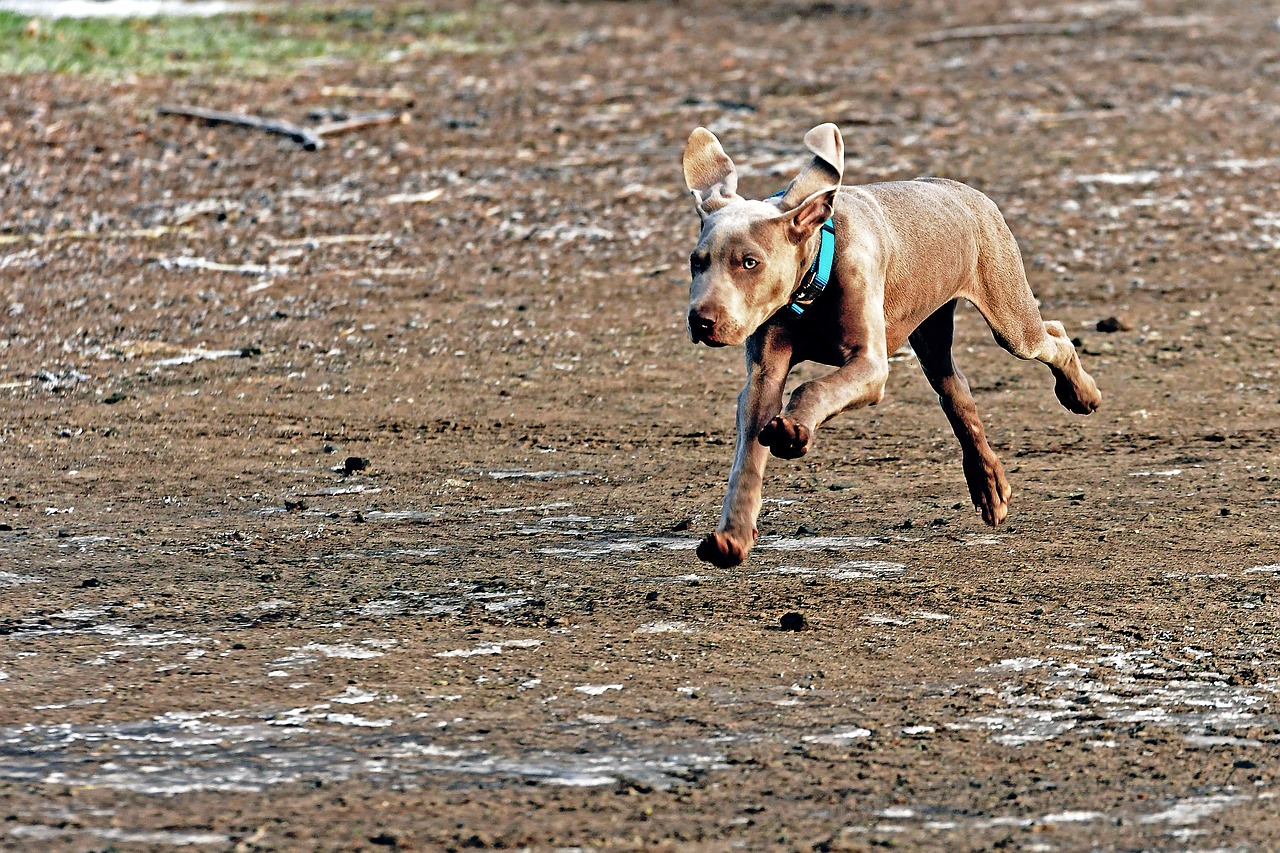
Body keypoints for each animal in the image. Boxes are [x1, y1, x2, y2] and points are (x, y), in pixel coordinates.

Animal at [680, 122, 1100, 568]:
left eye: (750, 263)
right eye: (696, 262)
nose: (701, 320)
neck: (810, 285)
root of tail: (963, 189)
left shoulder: (870, 364)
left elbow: (813, 387)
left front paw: (793, 429)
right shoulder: (763, 376)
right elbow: (747, 455)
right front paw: (732, 537)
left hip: (1011, 319)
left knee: (1052, 335)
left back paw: (1081, 394)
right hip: (932, 332)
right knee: (957, 394)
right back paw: (989, 487)